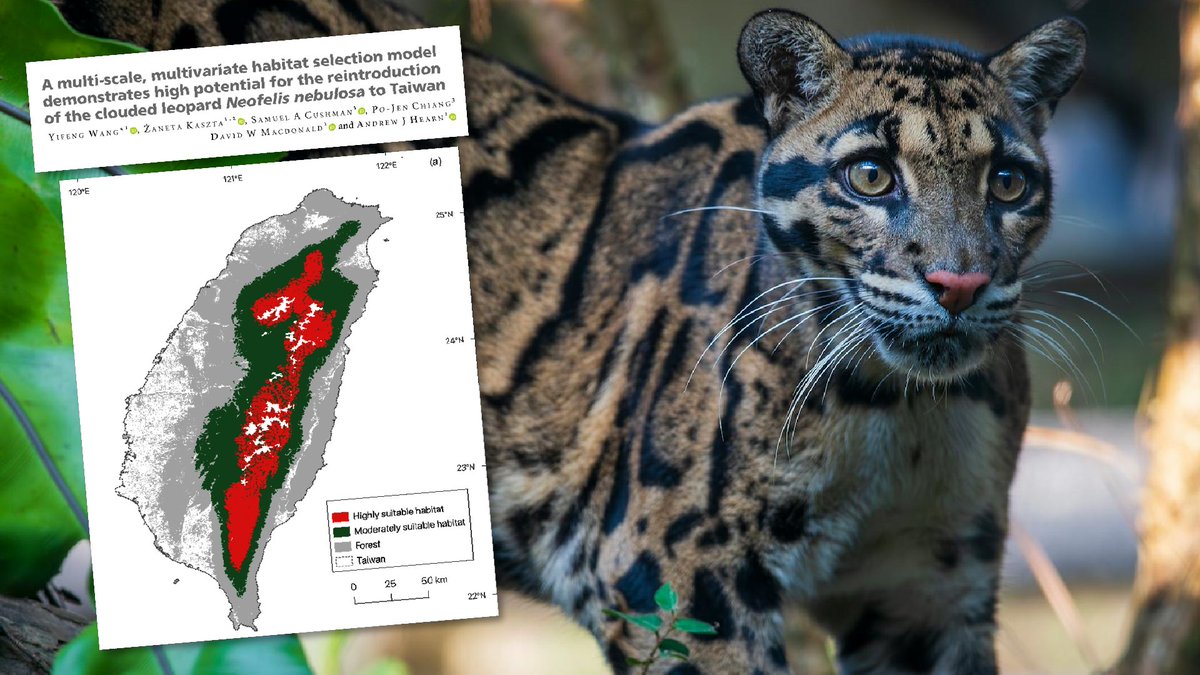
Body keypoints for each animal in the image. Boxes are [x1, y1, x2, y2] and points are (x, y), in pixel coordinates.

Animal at [56, 2, 1086, 672]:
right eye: (870, 174)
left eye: (1008, 183)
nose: (960, 281)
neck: (901, 406)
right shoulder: (677, 580)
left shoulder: (926, 590)